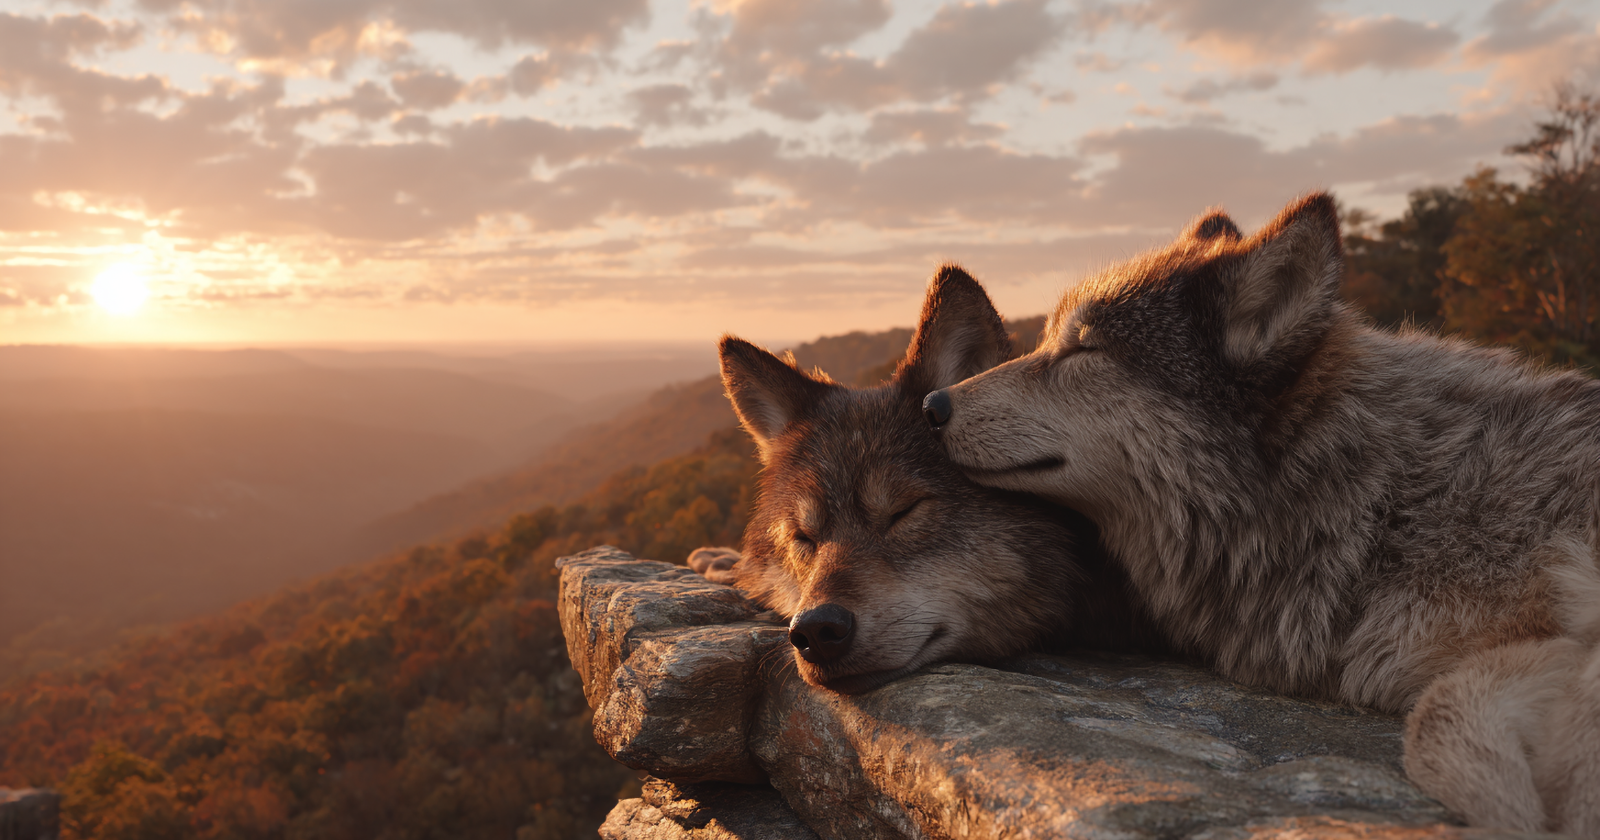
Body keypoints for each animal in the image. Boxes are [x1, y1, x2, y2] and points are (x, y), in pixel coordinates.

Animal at [924, 193, 1600, 835]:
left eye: (1084, 350)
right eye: (1043, 343)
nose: (933, 404)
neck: (1382, 497)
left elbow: (1443, 716)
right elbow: (1448, 715)